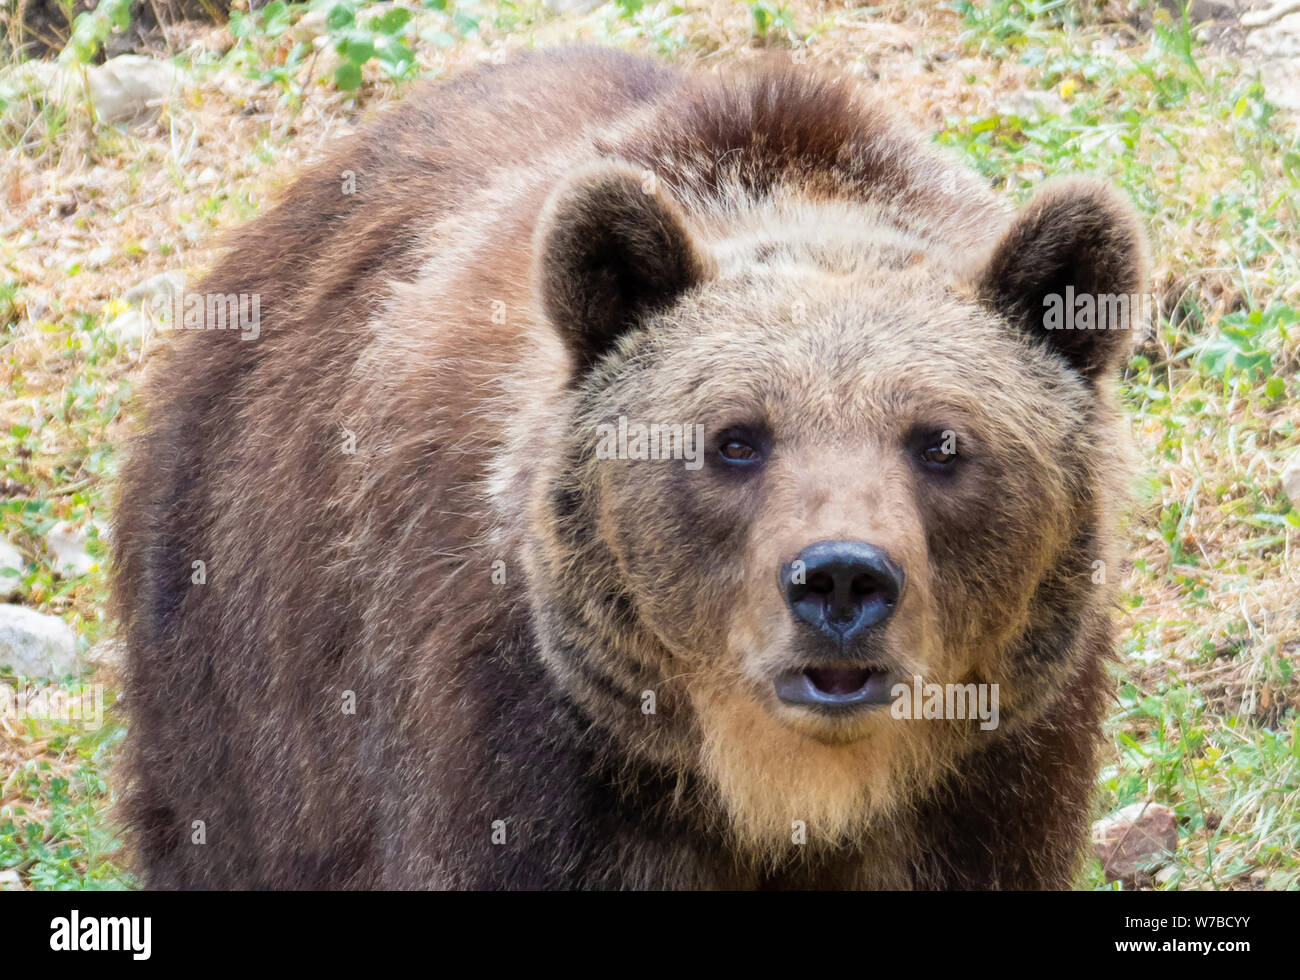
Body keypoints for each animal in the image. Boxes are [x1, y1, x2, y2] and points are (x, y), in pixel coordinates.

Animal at [114, 43, 1149, 883]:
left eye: (940, 441)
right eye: (735, 439)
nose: (842, 581)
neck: (783, 792)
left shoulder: (995, 775)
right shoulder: (523, 755)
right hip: (244, 696)